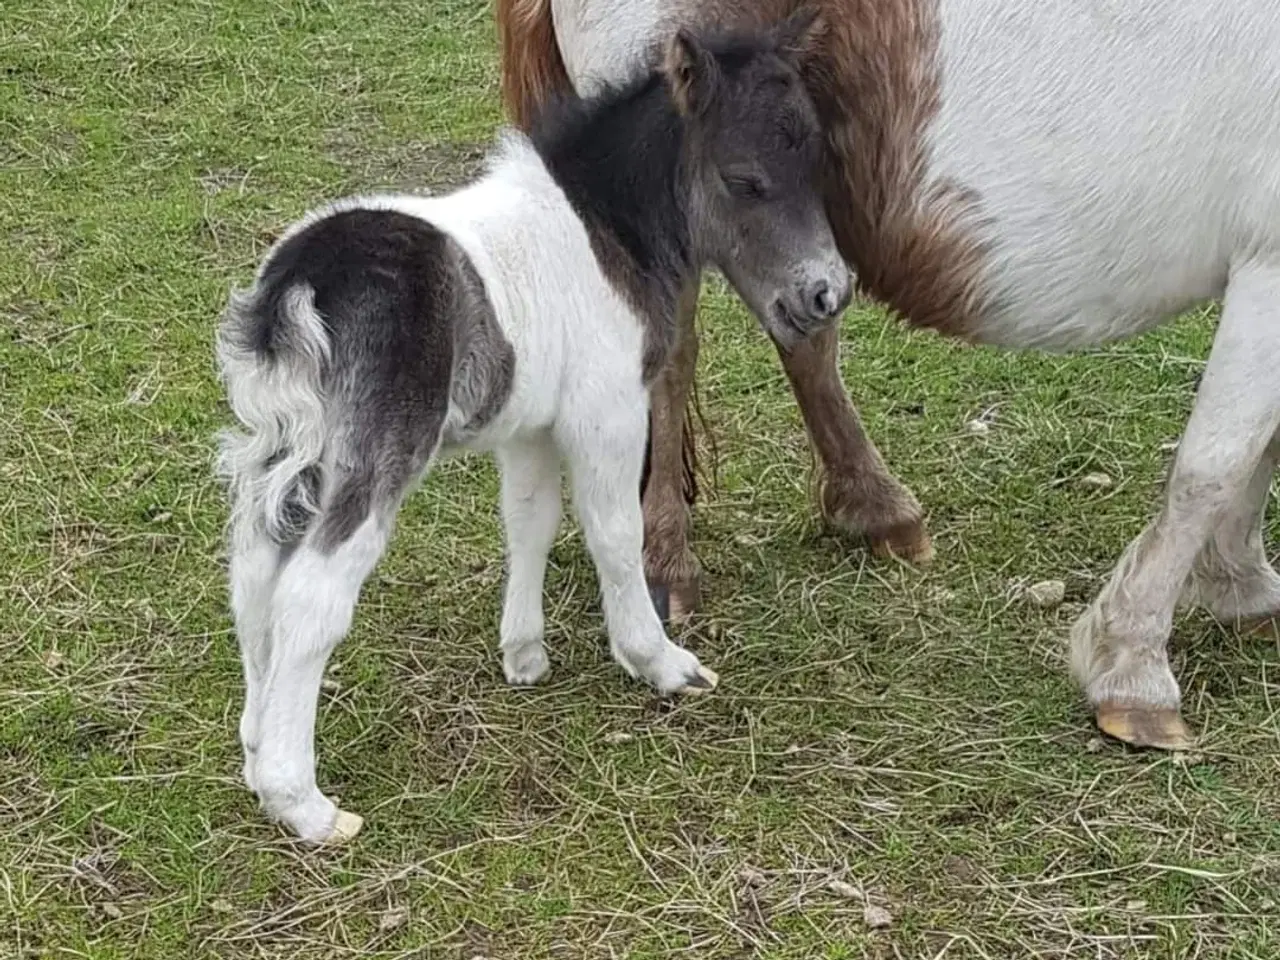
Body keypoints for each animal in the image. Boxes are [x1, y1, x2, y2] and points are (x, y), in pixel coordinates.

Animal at [215, 11, 844, 844]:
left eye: (817, 160)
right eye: (746, 180)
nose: (827, 293)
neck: (601, 229)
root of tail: (298, 284)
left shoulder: (529, 426)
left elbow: (530, 520)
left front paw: (524, 655)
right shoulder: (608, 410)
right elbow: (614, 533)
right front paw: (658, 661)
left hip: (291, 450)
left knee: (254, 576)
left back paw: (257, 756)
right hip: (374, 455)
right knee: (309, 597)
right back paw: (302, 802)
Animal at [496, 0, 1280, 752]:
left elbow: (1254, 453)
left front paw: (1241, 586)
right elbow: (1212, 469)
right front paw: (1132, 667)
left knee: (802, 338)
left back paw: (873, 507)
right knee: (674, 355)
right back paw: (666, 561)